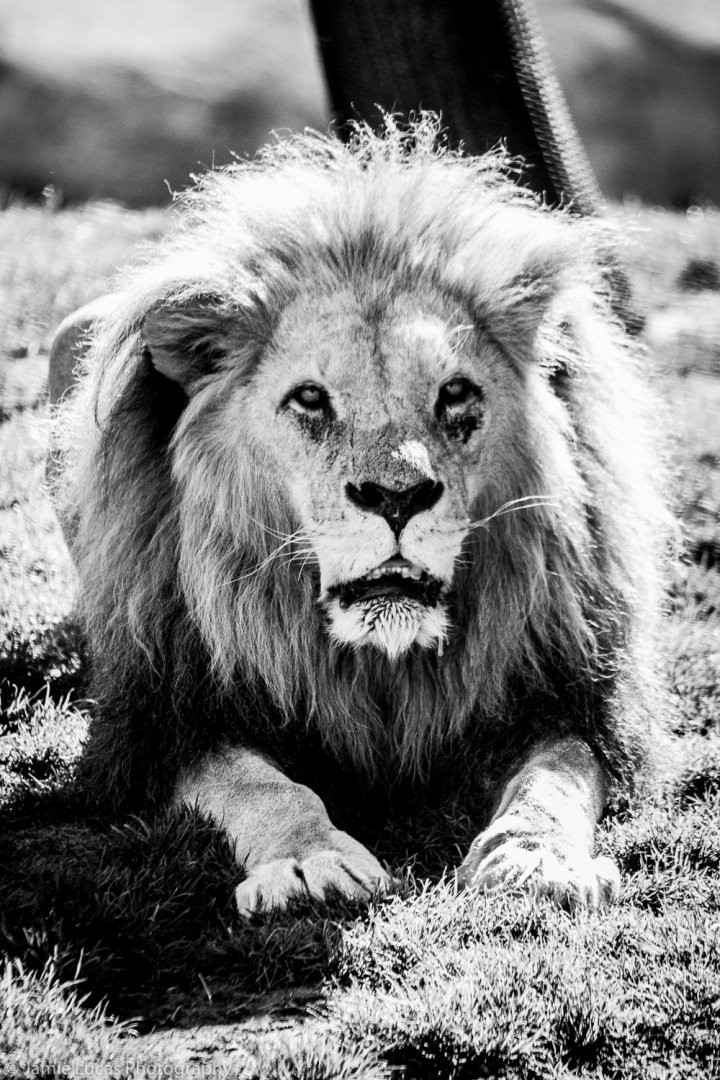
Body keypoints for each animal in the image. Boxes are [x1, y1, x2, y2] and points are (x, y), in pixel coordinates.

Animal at [49, 117, 665, 916]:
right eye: (311, 400)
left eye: (456, 394)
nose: (396, 497)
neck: (377, 665)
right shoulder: (170, 717)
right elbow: (261, 786)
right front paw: (310, 861)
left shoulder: (568, 692)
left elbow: (553, 775)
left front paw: (536, 858)